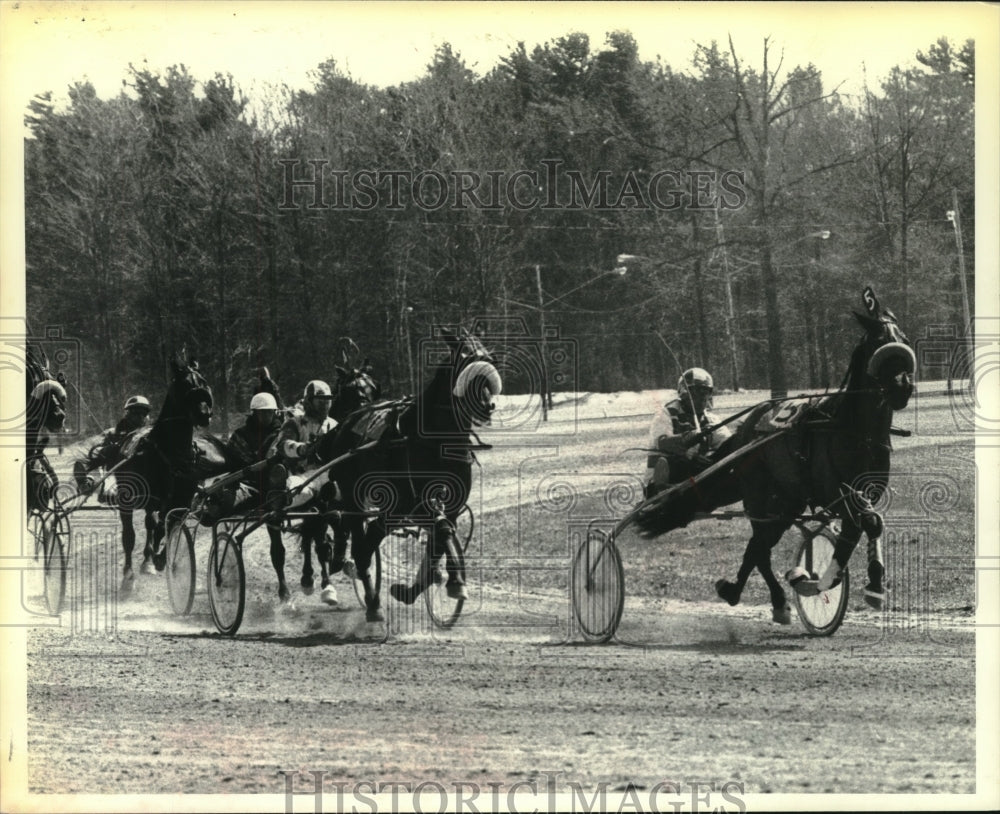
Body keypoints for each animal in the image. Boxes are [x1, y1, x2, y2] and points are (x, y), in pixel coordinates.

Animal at [318, 328, 500, 620]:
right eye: (464, 361)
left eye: (490, 359)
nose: (487, 405)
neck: (435, 440)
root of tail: (347, 421)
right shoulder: (410, 504)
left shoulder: (448, 506)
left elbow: (442, 537)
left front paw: (443, 584)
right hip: (357, 496)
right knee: (362, 540)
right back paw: (370, 601)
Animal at [636, 286, 912, 624]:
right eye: (878, 343)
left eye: (904, 339)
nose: (902, 387)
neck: (853, 429)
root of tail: (746, 431)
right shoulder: (840, 495)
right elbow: (863, 526)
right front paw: (815, 581)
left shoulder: (864, 494)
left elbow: (869, 525)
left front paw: (872, 586)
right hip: (761, 499)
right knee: (759, 549)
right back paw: (762, 595)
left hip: (786, 502)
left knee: (758, 546)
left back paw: (750, 593)